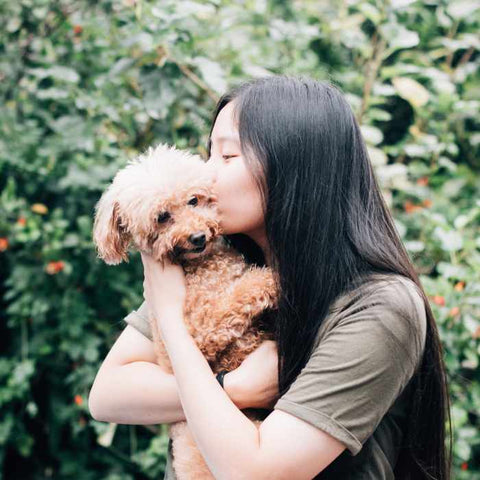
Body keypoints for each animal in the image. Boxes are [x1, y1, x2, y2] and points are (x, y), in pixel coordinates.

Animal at [92, 143, 280, 480]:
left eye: (194, 200)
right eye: (162, 217)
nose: (197, 237)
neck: (205, 265)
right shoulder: (200, 328)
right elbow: (241, 293)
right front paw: (271, 278)